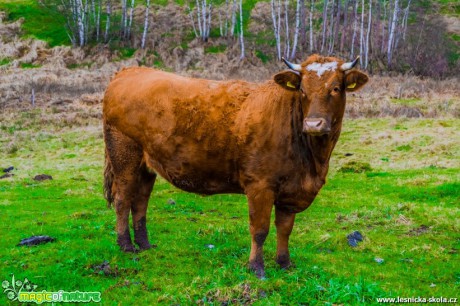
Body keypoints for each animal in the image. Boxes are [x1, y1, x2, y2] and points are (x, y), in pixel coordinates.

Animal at [102, 53, 368, 278]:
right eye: (302, 90)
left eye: (335, 88)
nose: (313, 124)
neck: (312, 162)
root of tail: (128, 71)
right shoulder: (260, 185)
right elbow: (259, 229)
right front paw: (257, 268)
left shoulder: (290, 190)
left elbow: (285, 228)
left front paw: (284, 263)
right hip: (124, 157)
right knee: (123, 200)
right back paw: (126, 246)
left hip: (147, 166)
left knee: (140, 202)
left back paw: (145, 244)